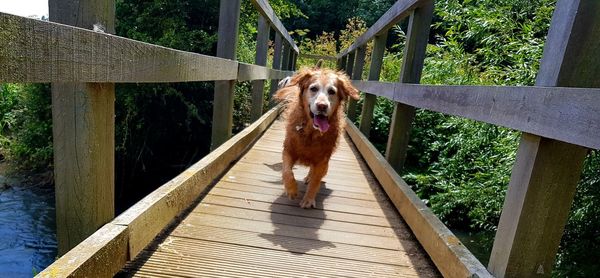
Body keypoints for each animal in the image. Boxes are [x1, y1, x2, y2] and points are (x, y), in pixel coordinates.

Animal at [274, 67, 360, 207]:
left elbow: (316, 180)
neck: (311, 132)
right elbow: (287, 171)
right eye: (313, 88)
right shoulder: (288, 150)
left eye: (332, 91)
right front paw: (291, 189)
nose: (322, 106)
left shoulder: (322, 160)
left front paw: (308, 199)